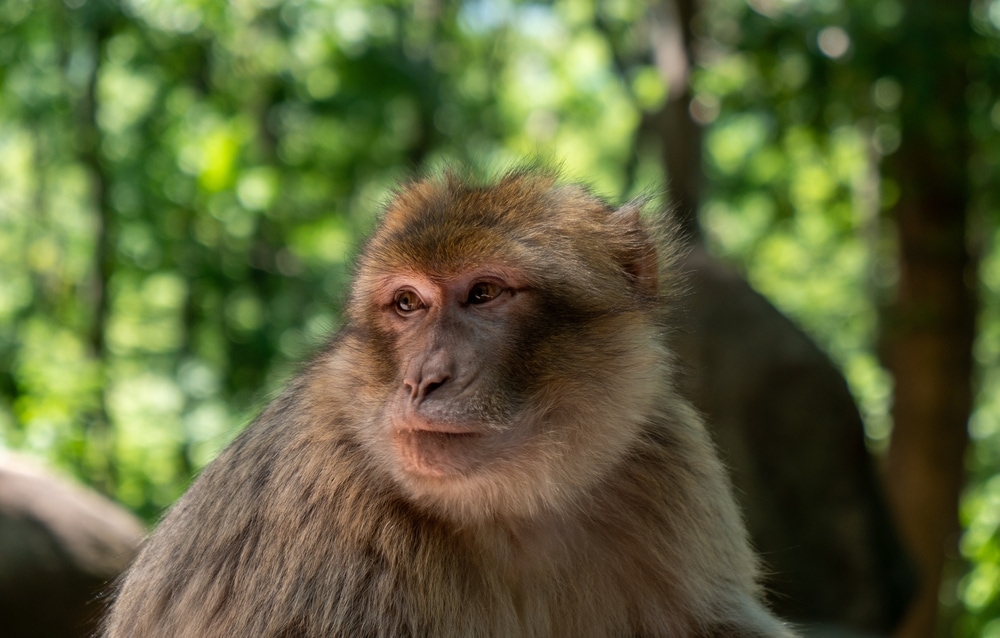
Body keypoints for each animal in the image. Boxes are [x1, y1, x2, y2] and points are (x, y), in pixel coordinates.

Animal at [102, 169, 795, 637]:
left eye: (484, 293)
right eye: (408, 303)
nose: (423, 380)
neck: (511, 508)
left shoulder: (668, 456)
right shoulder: (322, 511)